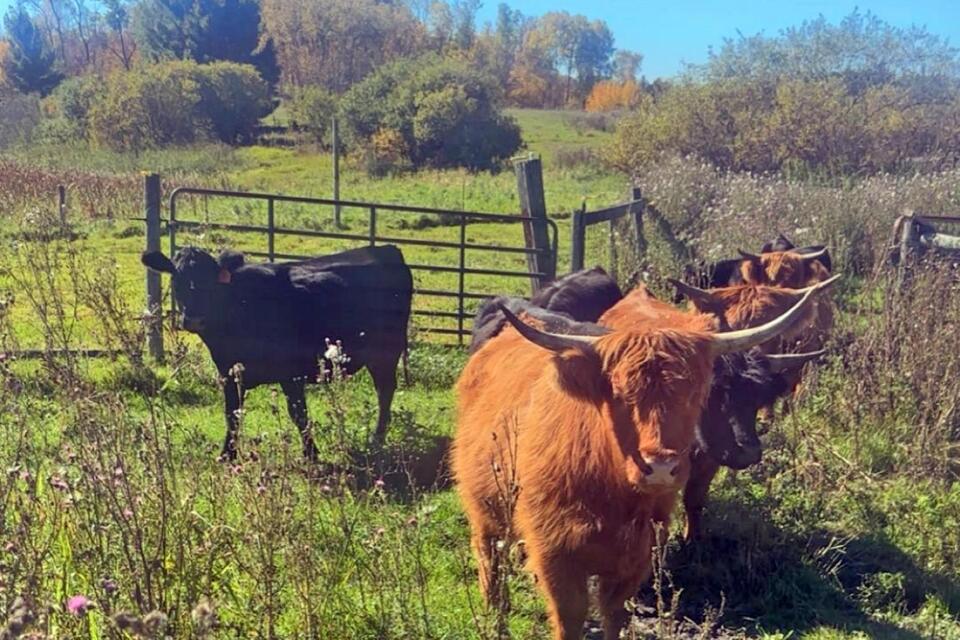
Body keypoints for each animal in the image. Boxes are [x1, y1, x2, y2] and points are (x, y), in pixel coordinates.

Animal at [141, 245, 413, 461]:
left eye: (210, 283)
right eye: (176, 280)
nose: (194, 319)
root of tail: (385, 249)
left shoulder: (290, 373)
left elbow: (298, 414)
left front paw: (311, 454)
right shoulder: (229, 372)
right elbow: (232, 414)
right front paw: (227, 454)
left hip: (385, 351)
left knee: (385, 391)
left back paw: (377, 440)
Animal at [453, 285, 821, 640]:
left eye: (696, 393)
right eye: (619, 392)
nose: (659, 468)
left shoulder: (637, 555)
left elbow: (615, 615)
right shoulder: (556, 556)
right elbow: (570, 618)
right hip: (482, 504)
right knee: (488, 552)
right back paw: (493, 610)